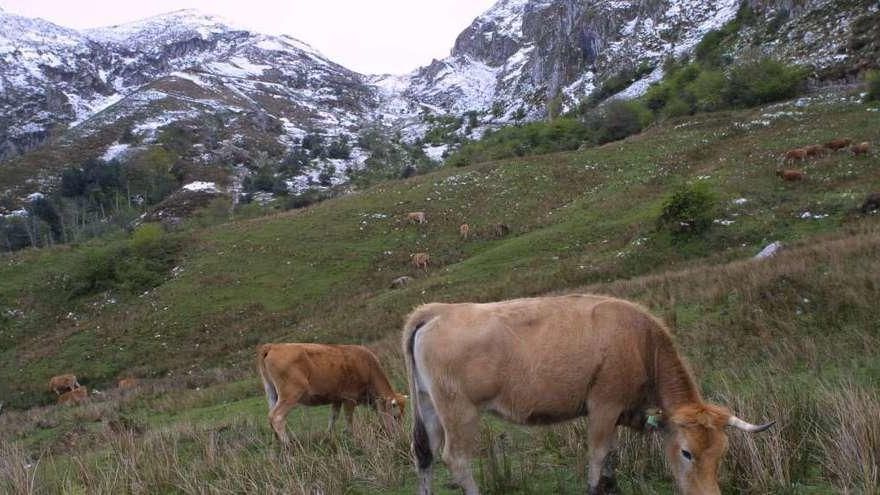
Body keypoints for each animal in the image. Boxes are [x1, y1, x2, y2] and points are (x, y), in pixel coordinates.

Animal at [254, 344, 406, 446]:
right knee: (277, 416)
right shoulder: (349, 398)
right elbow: (348, 418)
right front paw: (351, 435)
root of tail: (273, 346)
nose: (400, 436)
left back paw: (277, 442)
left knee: (271, 415)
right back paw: (288, 444)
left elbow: (333, 417)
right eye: (395, 416)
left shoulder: (337, 398)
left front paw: (328, 436)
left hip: (273, 394)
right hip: (291, 394)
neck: (367, 367)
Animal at [402, 296, 772, 494]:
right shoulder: (604, 406)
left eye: (722, 453)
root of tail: (437, 310)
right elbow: (598, 455)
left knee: (425, 455)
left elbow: (611, 457)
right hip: (458, 410)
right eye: (686, 453)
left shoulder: (618, 412)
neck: (640, 343)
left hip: (428, 405)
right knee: (457, 458)